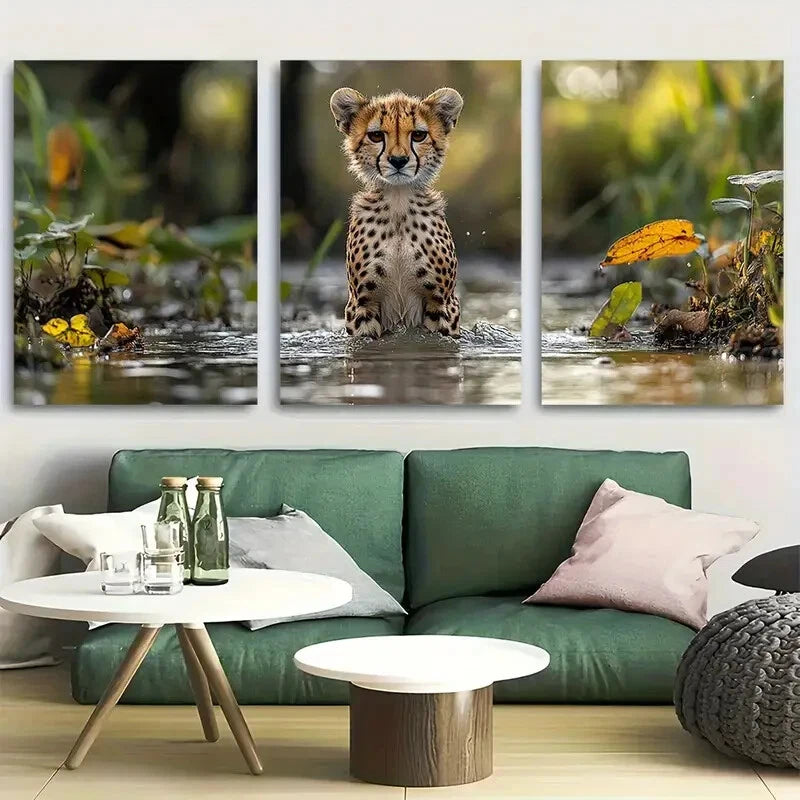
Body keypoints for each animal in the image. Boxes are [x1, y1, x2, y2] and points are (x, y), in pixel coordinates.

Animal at [330, 86, 464, 338]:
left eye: (419, 135)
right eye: (376, 136)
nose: (398, 160)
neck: (399, 200)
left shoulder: (442, 303)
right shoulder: (362, 305)